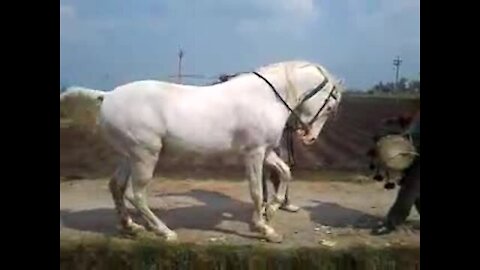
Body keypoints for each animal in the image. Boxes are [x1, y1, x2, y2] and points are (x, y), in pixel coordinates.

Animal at [60, 61, 344, 243]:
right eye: (331, 106)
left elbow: (284, 173)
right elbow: (256, 191)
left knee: (117, 187)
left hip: (128, 155)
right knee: (136, 194)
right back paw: (164, 232)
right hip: (145, 155)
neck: (266, 97)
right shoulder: (253, 153)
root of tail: (107, 96)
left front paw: (271, 211)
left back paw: (132, 227)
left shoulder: (265, 151)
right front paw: (264, 228)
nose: (309, 137)